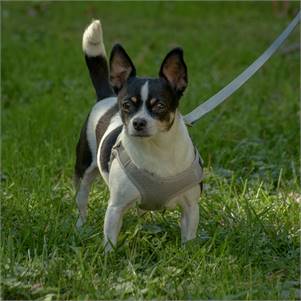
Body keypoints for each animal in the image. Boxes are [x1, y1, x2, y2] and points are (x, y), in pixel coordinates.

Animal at [74, 19, 203, 251]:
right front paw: (108, 257)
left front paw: (188, 255)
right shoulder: (115, 208)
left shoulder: (191, 208)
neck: (157, 149)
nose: (138, 122)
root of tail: (107, 96)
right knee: (82, 200)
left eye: (159, 106)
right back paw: (81, 227)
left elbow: (188, 239)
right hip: (84, 169)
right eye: (126, 105)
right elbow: (110, 240)